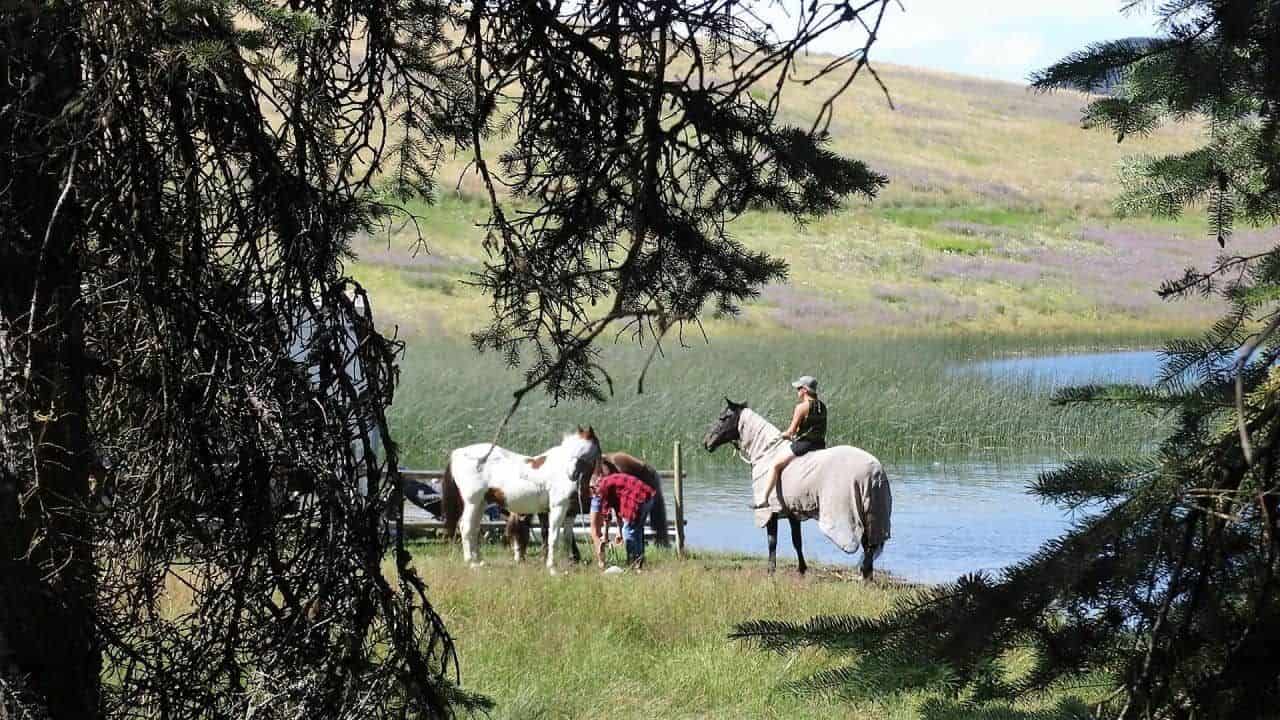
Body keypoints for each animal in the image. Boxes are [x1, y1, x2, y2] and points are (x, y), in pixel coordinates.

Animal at [440, 425, 599, 571]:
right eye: (570, 451)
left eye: (584, 451)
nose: (571, 475)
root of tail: (458, 453)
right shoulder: (558, 507)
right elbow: (553, 536)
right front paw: (552, 567)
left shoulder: (570, 512)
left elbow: (566, 537)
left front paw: (570, 563)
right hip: (472, 502)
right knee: (466, 527)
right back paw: (471, 562)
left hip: (481, 503)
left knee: (474, 528)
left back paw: (479, 560)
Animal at [706, 394, 896, 573]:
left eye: (723, 418)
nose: (706, 442)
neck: (767, 454)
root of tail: (875, 470)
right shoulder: (793, 511)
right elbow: (797, 541)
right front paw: (802, 569)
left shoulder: (770, 512)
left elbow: (772, 542)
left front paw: (771, 570)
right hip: (872, 514)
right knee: (869, 549)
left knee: (867, 549)